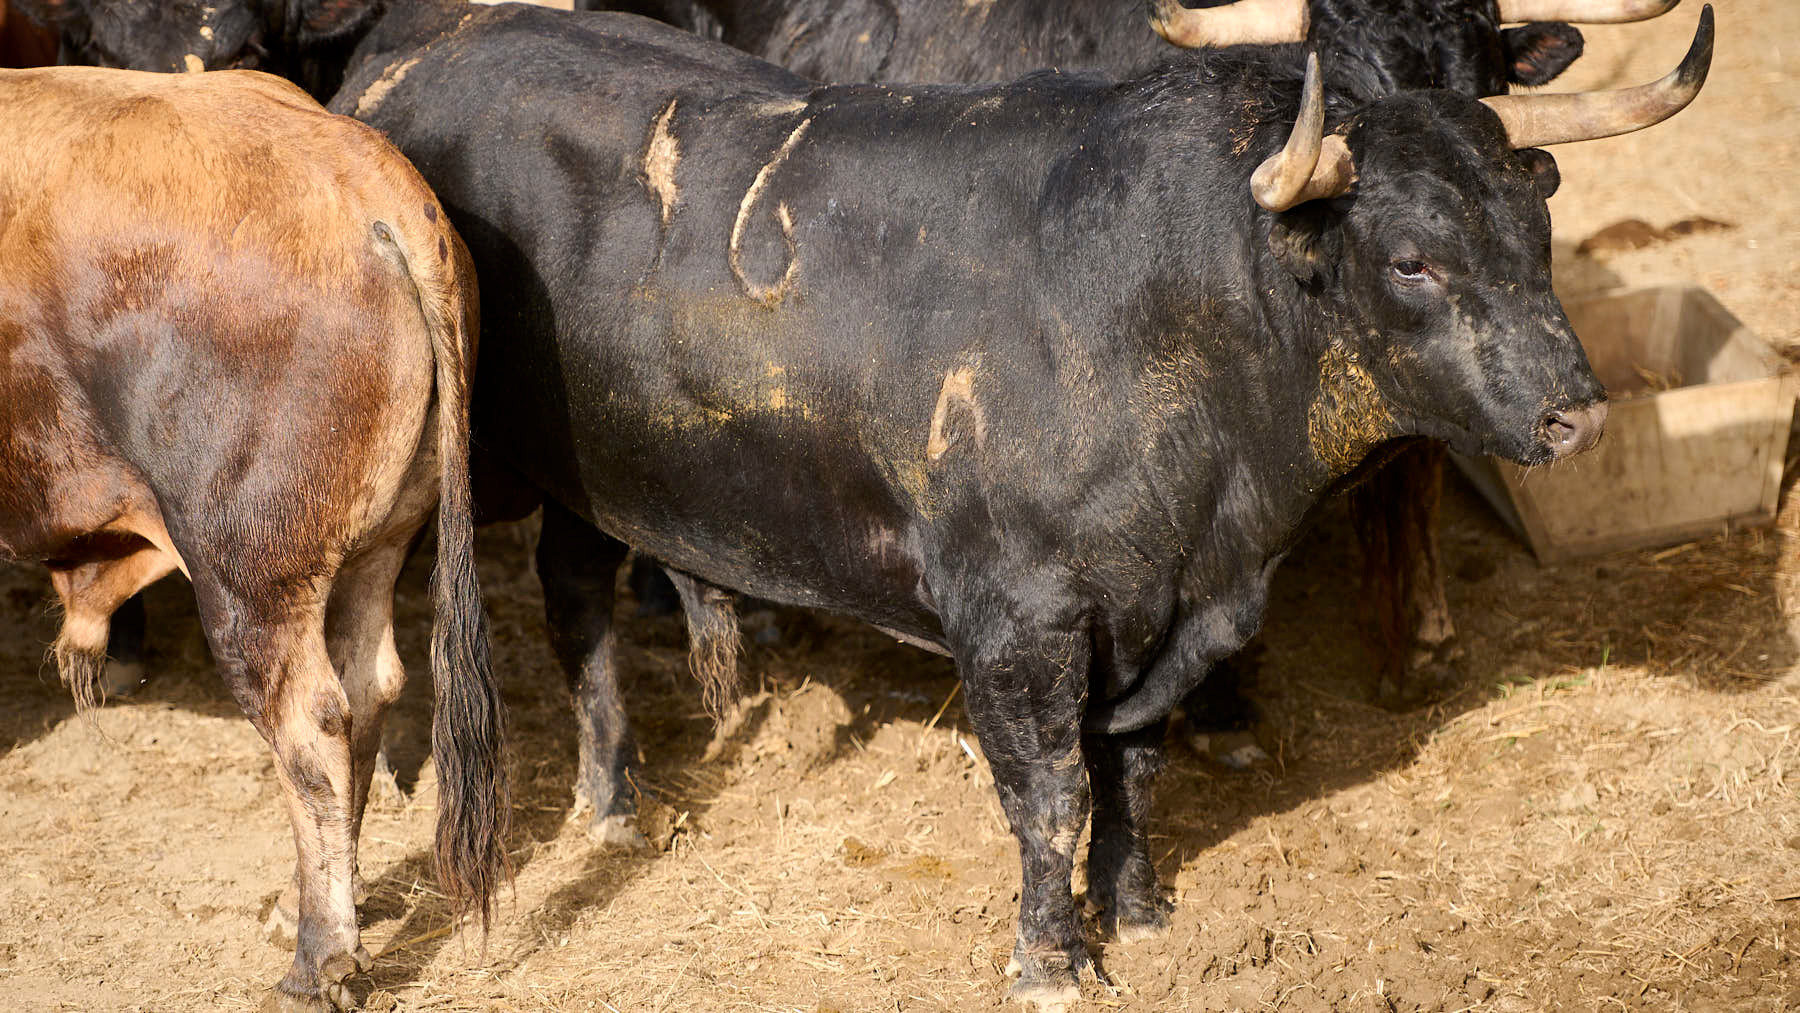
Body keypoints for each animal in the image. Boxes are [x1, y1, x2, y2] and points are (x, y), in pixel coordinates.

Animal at [1, 67, 507, 1007]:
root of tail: (370, 189)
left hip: (247, 577)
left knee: (310, 722)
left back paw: (319, 960)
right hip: (375, 545)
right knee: (368, 688)